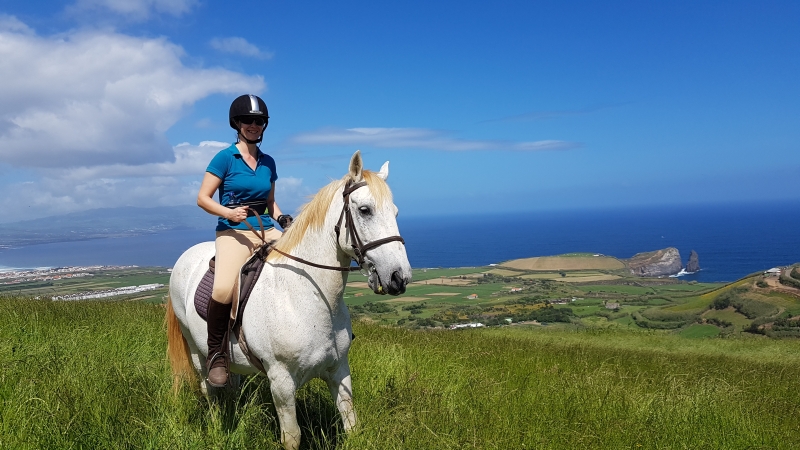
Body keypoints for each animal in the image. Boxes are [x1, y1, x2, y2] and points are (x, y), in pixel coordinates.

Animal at [164, 152, 412, 450]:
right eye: (365, 210)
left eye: (395, 213)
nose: (399, 277)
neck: (305, 297)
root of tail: (183, 258)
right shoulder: (280, 381)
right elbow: (292, 437)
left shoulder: (339, 371)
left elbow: (351, 423)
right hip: (195, 348)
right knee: (208, 387)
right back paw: (216, 426)